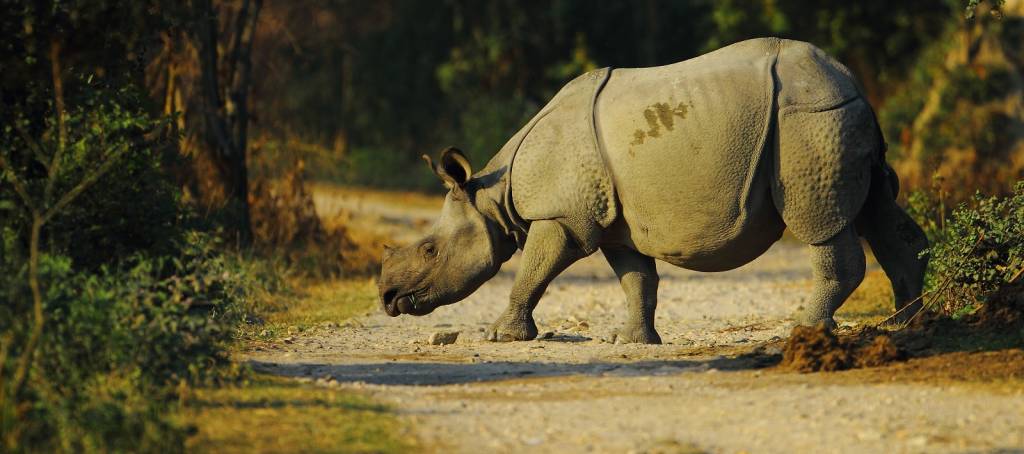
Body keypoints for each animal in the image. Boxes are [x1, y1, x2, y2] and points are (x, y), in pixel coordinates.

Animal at [376, 38, 929, 344]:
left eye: (429, 250)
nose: (387, 298)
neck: (494, 196)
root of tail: (850, 80)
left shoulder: (563, 216)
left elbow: (532, 272)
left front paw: (499, 336)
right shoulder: (616, 222)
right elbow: (636, 280)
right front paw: (632, 341)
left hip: (807, 121)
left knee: (821, 222)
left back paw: (806, 330)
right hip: (834, 117)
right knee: (880, 213)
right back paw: (904, 325)